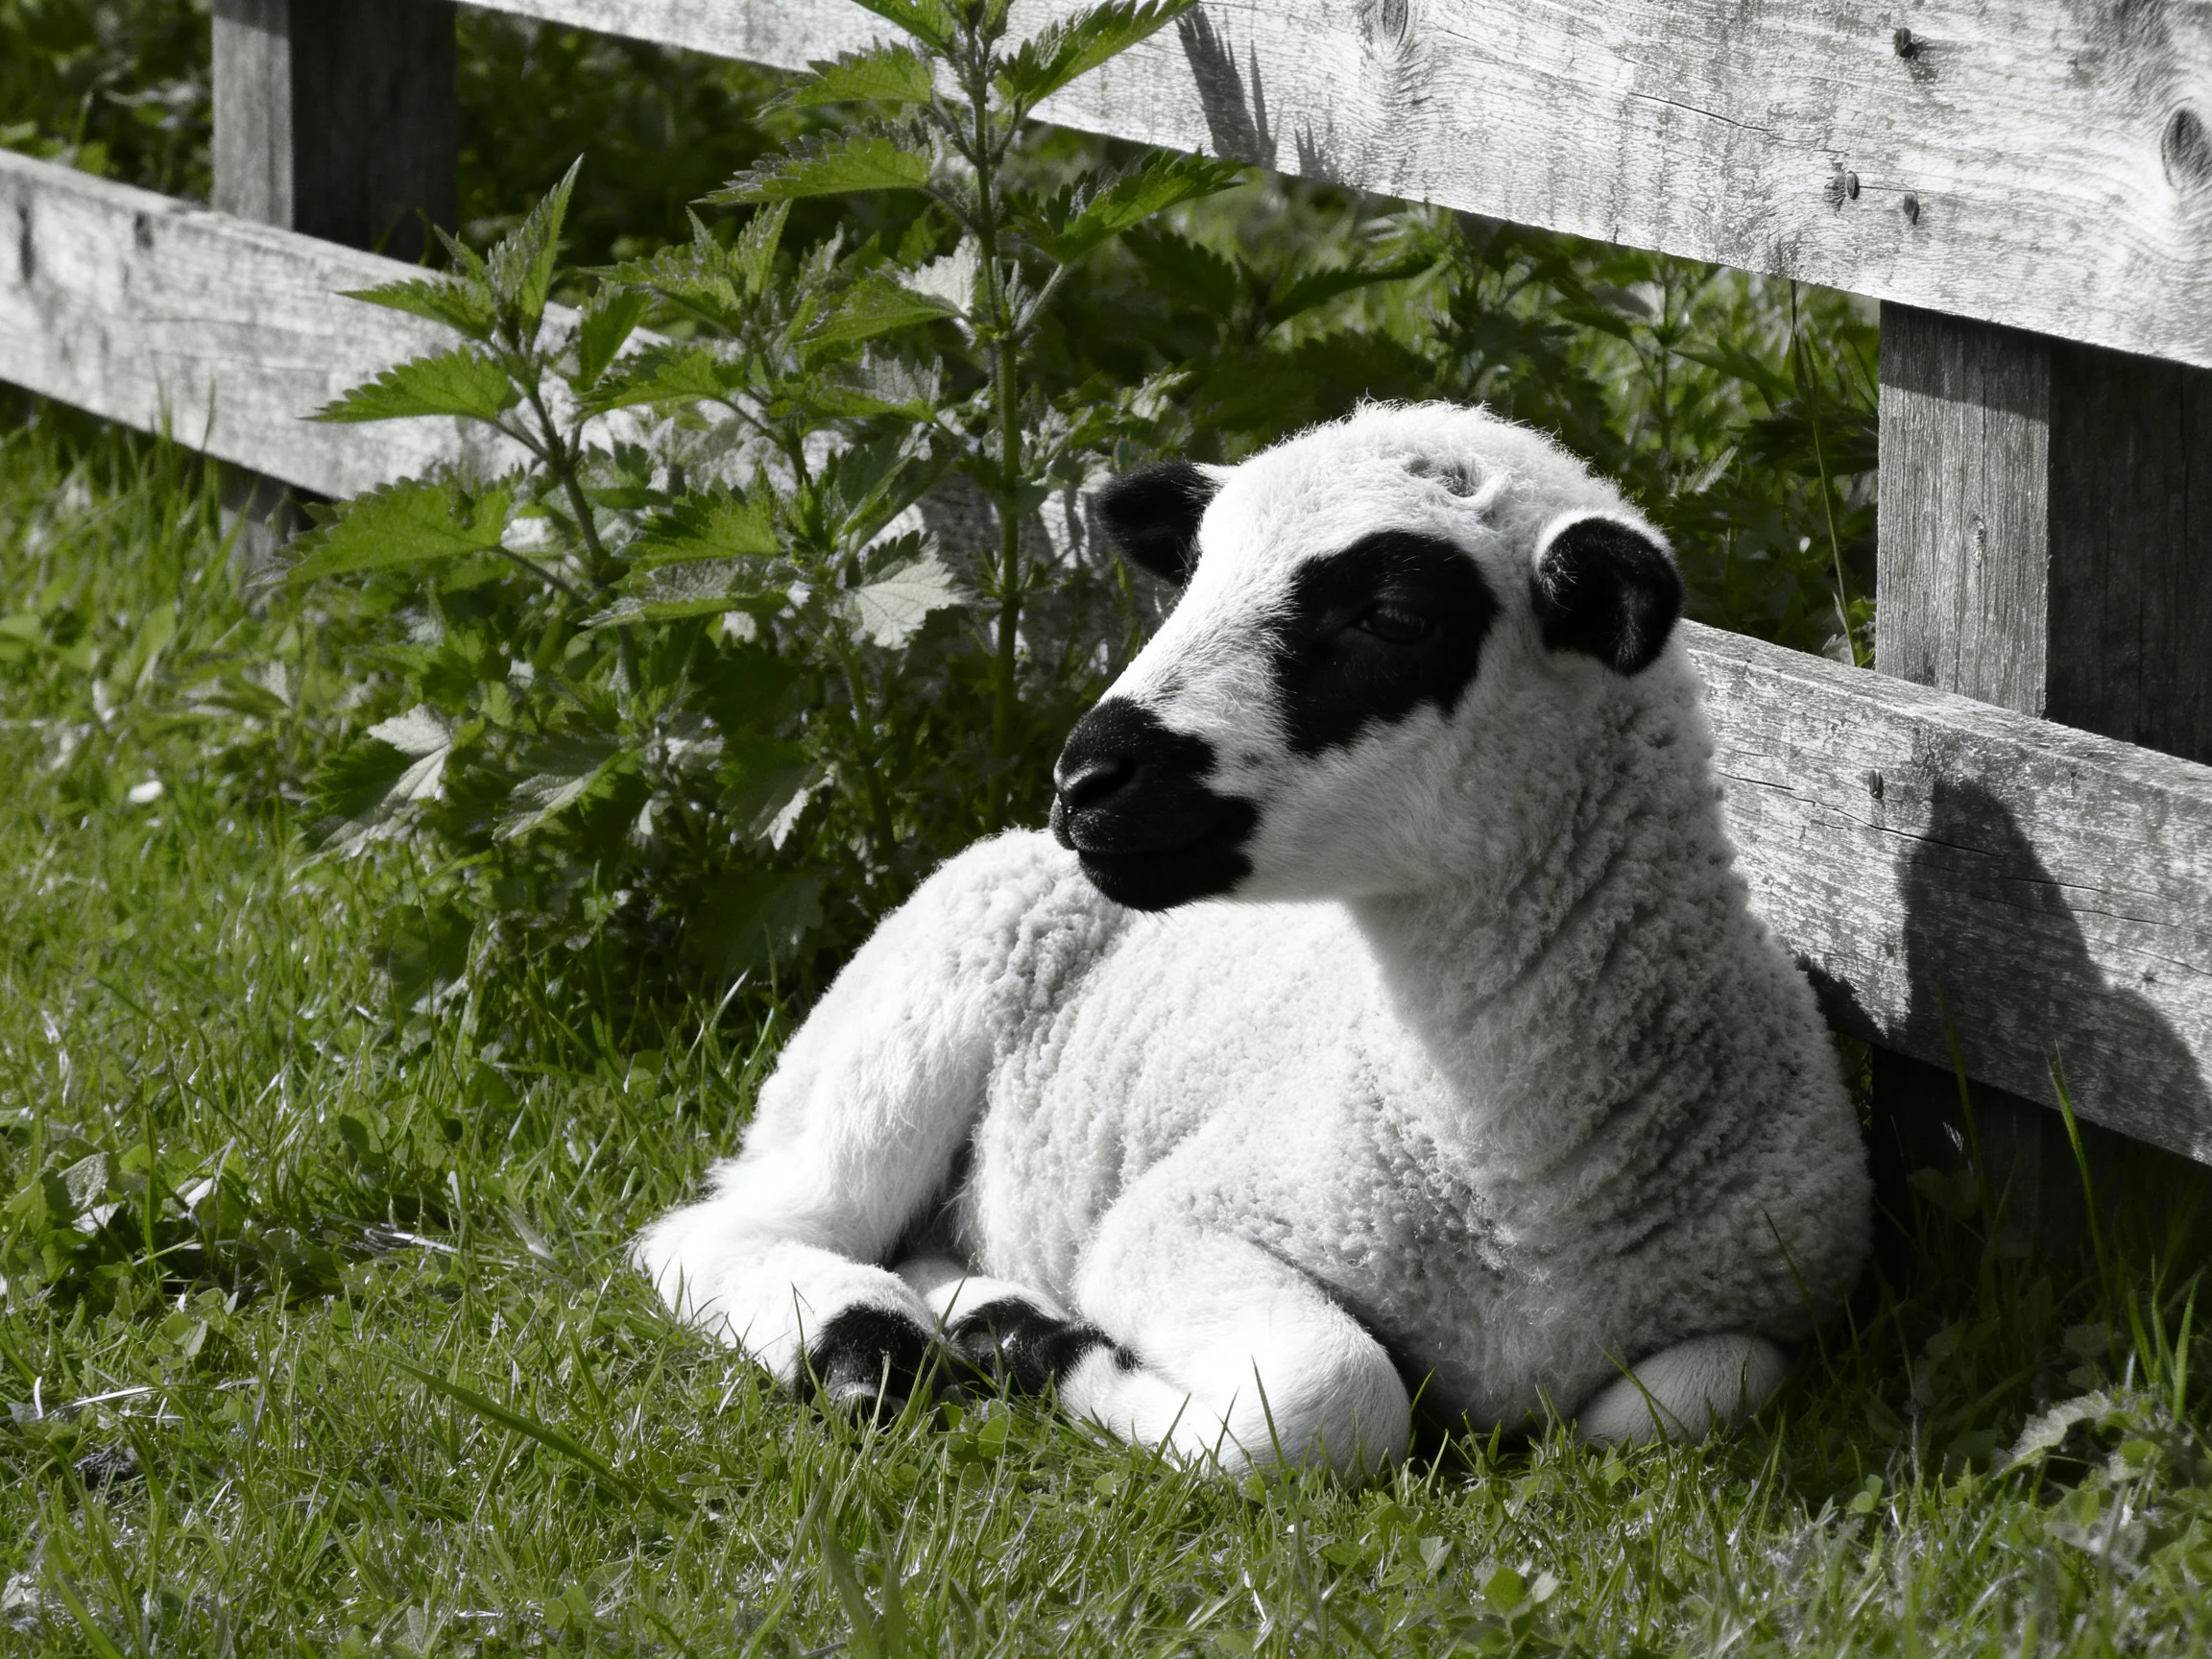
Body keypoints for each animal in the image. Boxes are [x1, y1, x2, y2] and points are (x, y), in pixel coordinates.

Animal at [636, 402, 1872, 1477]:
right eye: (1190, 577)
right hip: (902, 1023)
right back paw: (864, 1349)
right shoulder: (1173, 1222)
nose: (1086, 780)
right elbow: (1334, 1395)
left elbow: (1680, 1400)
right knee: (721, 1231)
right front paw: (1069, 1358)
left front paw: (1020, 1336)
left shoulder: (1774, 1300)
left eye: (1393, 617)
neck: (1511, 1188)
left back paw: (971, 1306)